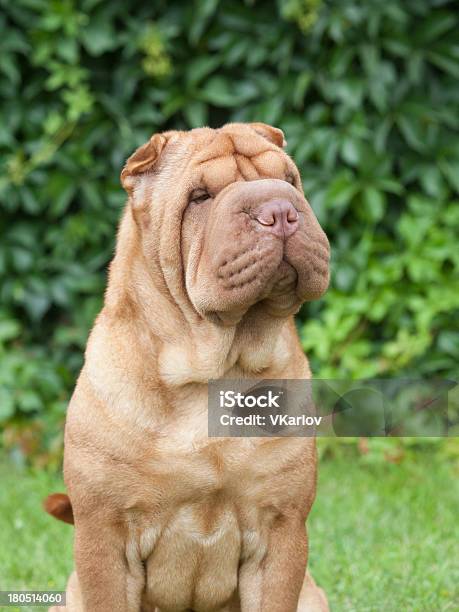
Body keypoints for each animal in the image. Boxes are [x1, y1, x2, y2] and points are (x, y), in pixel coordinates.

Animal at [46, 122, 330, 608]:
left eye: (289, 180)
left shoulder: (281, 527)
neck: (213, 369)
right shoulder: (105, 533)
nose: (279, 210)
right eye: (200, 197)